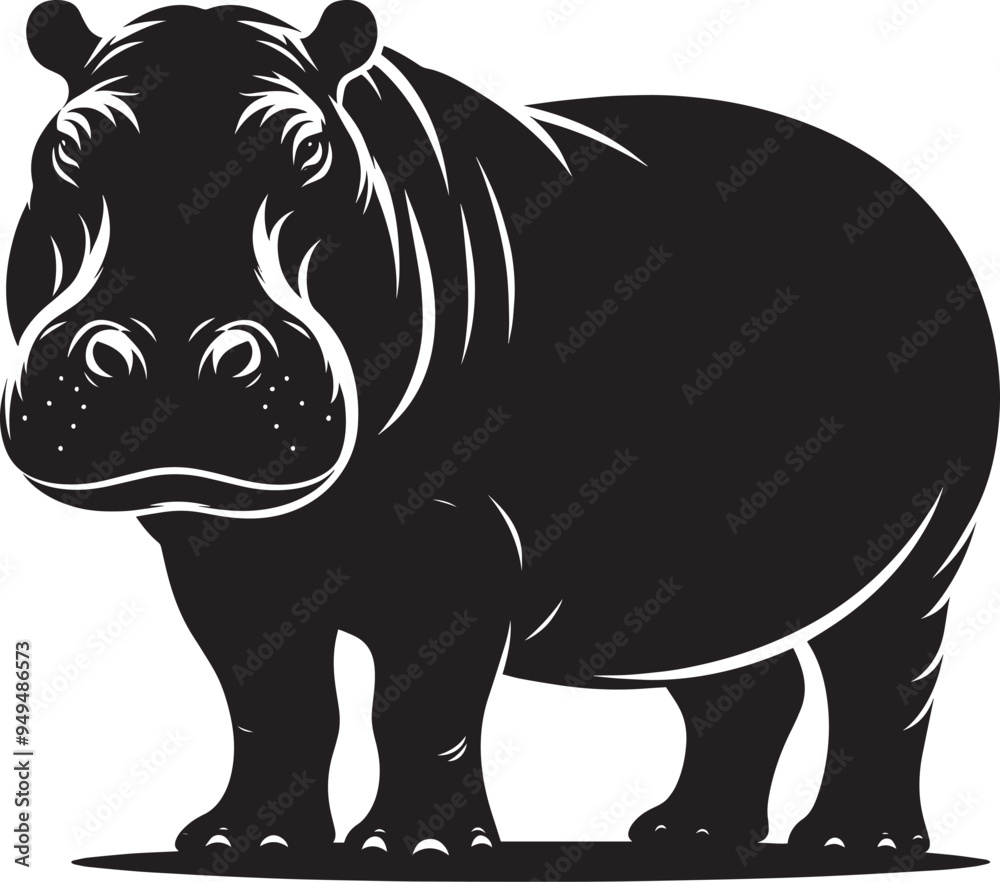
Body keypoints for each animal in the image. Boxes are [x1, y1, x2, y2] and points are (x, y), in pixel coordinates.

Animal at [3, 0, 997, 873]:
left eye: (312, 149)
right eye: (62, 147)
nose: (167, 350)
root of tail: (920, 203)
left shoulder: (457, 531)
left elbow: (422, 705)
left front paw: (415, 854)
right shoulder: (220, 551)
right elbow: (272, 706)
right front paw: (237, 848)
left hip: (927, 541)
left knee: (889, 670)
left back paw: (852, 847)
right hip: (702, 563)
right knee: (743, 675)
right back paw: (689, 839)